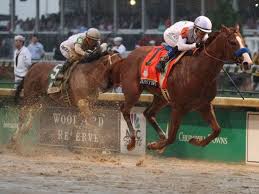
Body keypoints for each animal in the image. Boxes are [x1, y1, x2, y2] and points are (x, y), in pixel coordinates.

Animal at [119, 25, 254, 151]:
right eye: (232, 42)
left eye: (243, 41)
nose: (248, 63)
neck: (199, 71)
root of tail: (129, 55)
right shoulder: (178, 107)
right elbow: (172, 137)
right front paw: (154, 145)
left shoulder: (204, 105)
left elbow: (217, 130)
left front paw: (196, 141)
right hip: (133, 91)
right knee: (125, 110)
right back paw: (132, 142)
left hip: (162, 97)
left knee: (148, 113)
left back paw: (160, 136)